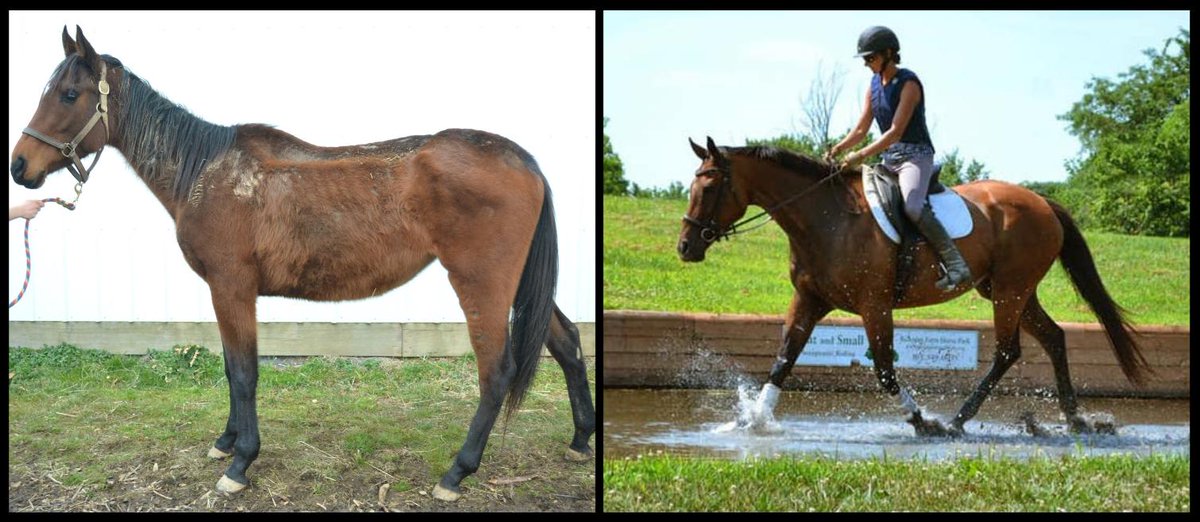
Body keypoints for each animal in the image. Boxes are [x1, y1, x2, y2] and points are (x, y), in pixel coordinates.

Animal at [9, 26, 595, 501]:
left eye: (69, 94)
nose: (20, 166)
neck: (206, 170)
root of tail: (523, 160)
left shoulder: (232, 287)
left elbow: (244, 372)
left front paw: (241, 464)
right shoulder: (225, 292)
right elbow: (230, 368)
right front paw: (226, 442)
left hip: (482, 285)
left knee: (496, 372)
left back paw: (456, 473)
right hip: (521, 286)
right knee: (566, 342)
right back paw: (580, 439)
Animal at [677, 136, 1149, 436]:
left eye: (711, 186)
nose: (685, 247)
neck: (825, 219)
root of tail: (1043, 202)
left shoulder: (874, 305)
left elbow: (885, 371)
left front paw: (923, 422)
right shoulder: (809, 300)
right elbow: (783, 359)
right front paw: (754, 419)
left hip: (1009, 290)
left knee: (1007, 351)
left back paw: (957, 422)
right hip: (1008, 289)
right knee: (1052, 337)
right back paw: (1074, 420)